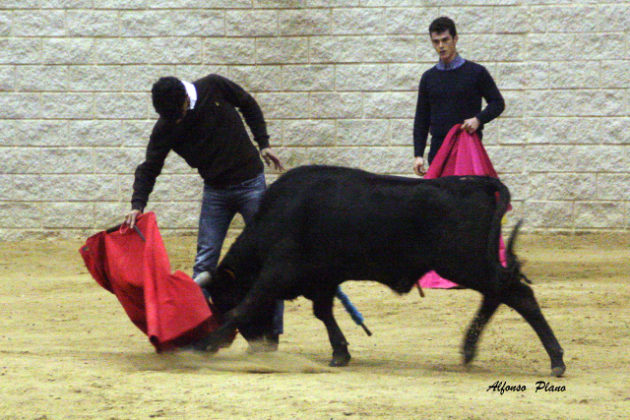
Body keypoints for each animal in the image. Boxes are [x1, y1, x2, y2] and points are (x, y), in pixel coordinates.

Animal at [199, 165, 568, 378]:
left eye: (220, 298)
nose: (260, 345)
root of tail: (474, 184)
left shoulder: (279, 271)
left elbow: (247, 305)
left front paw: (203, 345)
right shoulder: (323, 279)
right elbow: (324, 313)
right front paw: (340, 353)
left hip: (464, 262)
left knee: (518, 294)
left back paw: (556, 360)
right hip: (474, 263)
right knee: (498, 294)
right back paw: (468, 350)